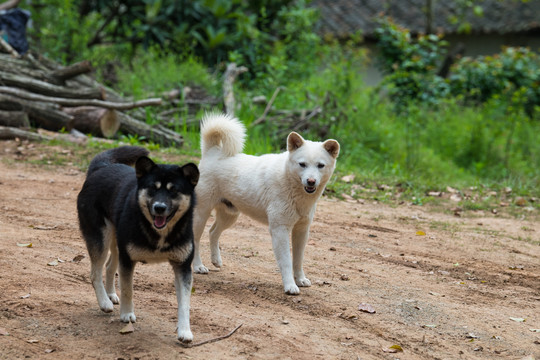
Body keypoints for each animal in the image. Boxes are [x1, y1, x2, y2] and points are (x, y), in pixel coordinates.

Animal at [77, 147, 199, 344]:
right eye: (152, 188)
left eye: (174, 191)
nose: (159, 207)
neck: (158, 233)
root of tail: (100, 167)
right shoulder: (128, 260)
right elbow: (128, 289)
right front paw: (127, 315)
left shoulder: (183, 266)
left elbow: (184, 304)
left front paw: (184, 331)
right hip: (101, 239)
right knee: (95, 273)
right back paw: (104, 302)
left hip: (116, 243)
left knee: (109, 266)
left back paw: (111, 294)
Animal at [192, 113, 340, 296]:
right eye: (302, 164)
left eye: (320, 165)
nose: (311, 181)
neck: (290, 182)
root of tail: (211, 153)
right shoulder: (279, 230)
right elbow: (286, 261)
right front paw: (290, 286)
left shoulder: (301, 230)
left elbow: (298, 260)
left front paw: (300, 280)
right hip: (201, 214)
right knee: (196, 239)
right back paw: (198, 266)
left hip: (230, 215)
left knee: (213, 232)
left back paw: (216, 261)